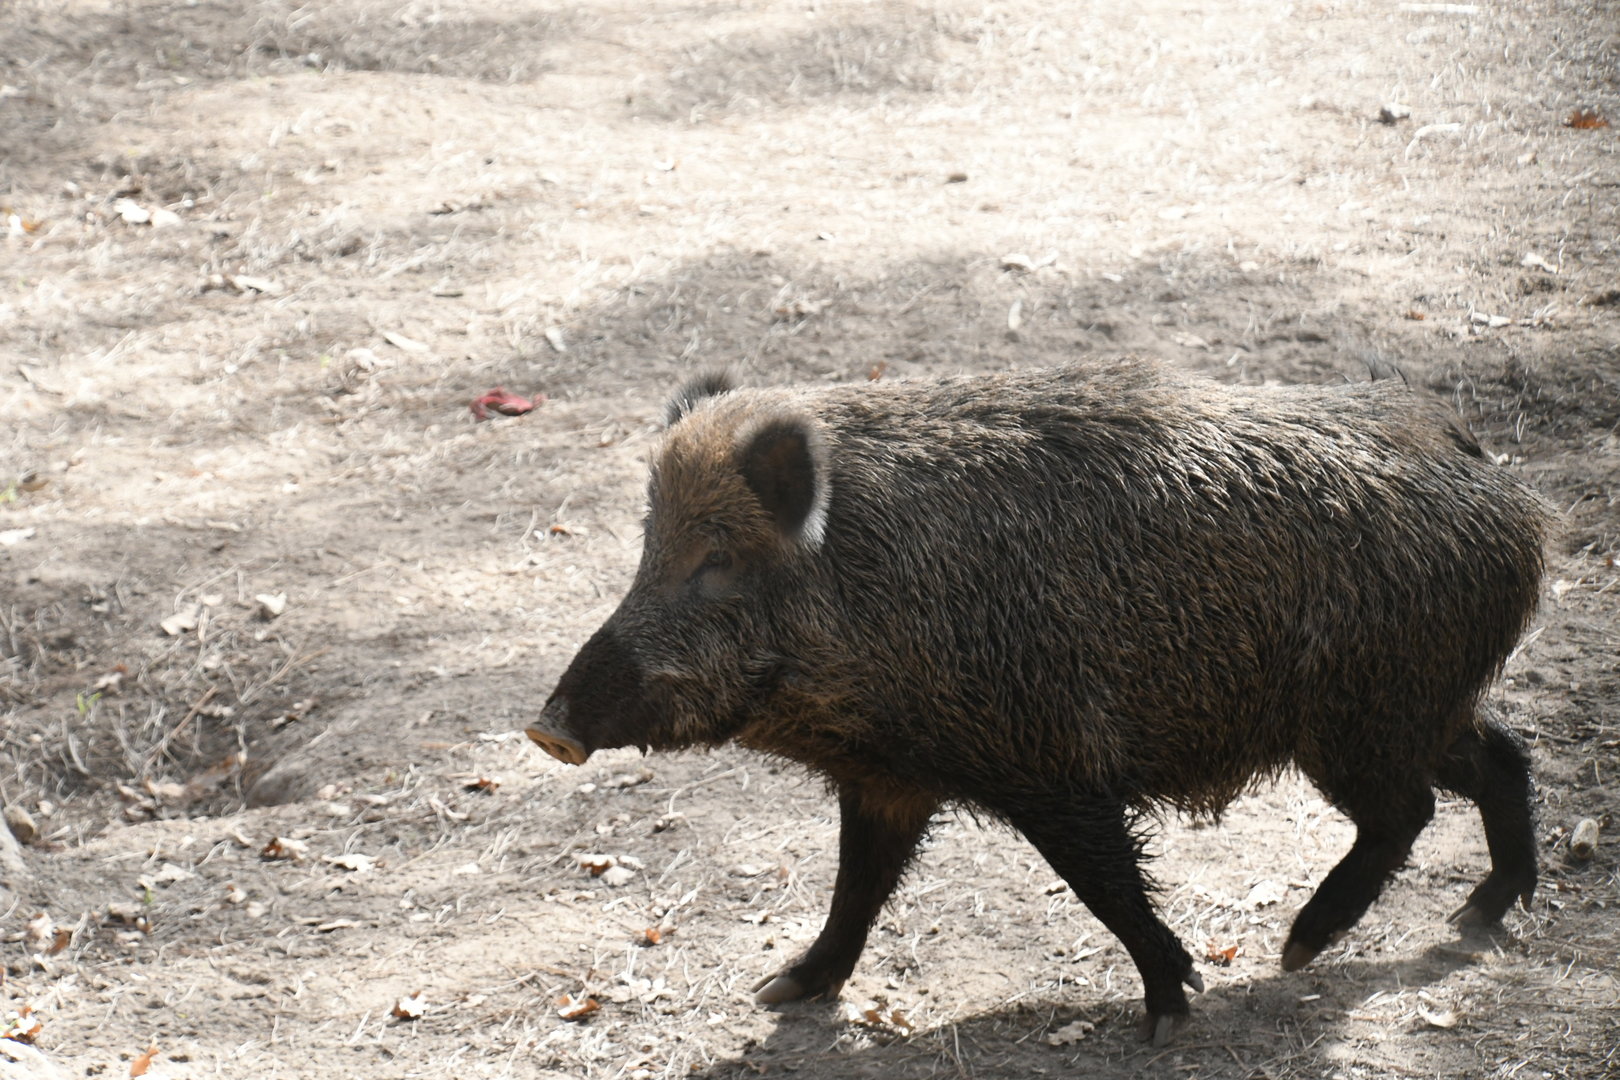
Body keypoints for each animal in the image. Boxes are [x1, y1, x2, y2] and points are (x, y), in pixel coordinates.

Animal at [527, 357, 1549, 1044]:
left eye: (716, 561)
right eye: (647, 547)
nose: (547, 729)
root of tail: (1486, 465)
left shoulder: (1053, 765)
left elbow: (1105, 886)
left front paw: (1168, 1015)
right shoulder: (891, 780)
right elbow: (857, 887)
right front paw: (782, 990)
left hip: (1358, 721)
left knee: (1406, 811)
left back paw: (1300, 948)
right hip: (1419, 707)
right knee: (1503, 757)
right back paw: (1478, 918)